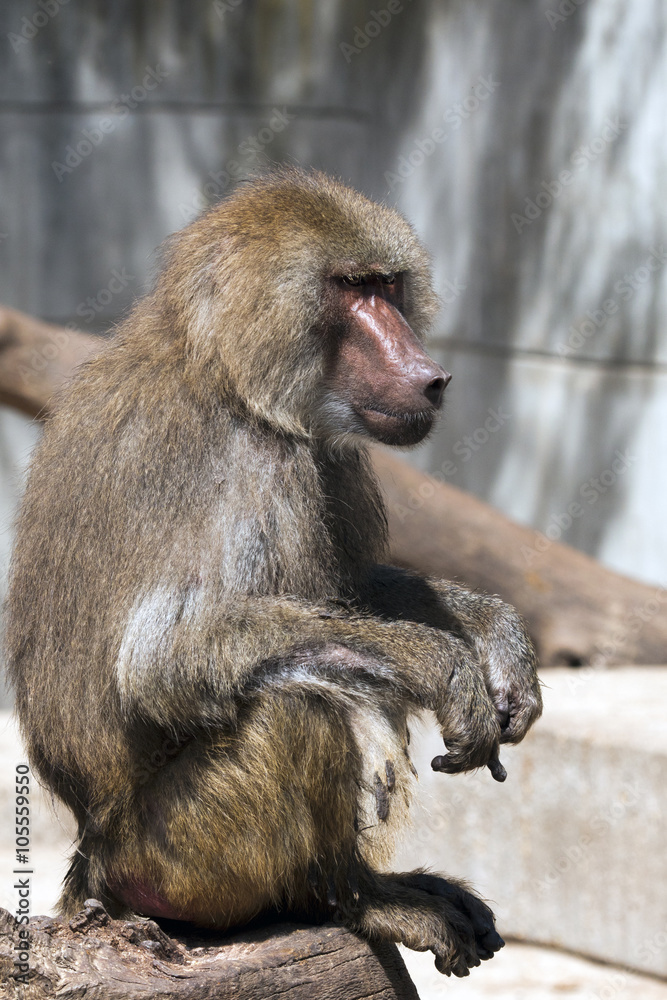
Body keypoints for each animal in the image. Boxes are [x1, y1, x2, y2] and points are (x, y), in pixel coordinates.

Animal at [5, 168, 541, 978]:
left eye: (387, 285)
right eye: (350, 288)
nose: (431, 377)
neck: (225, 370)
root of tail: (92, 861)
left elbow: (344, 590)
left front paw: (493, 634)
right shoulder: (246, 460)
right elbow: (164, 658)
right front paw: (443, 664)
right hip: (175, 858)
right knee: (298, 704)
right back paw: (350, 895)